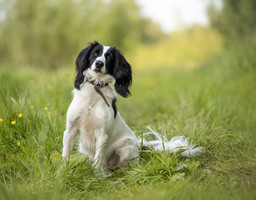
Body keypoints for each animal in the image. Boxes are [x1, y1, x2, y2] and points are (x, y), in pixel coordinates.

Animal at [61, 41, 202, 172]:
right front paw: (62, 173)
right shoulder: (70, 130)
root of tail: (140, 146)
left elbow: (97, 160)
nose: (99, 63)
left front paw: (97, 175)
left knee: (128, 164)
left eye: (109, 57)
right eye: (95, 53)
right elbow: (66, 155)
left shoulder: (102, 134)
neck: (95, 90)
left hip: (126, 146)